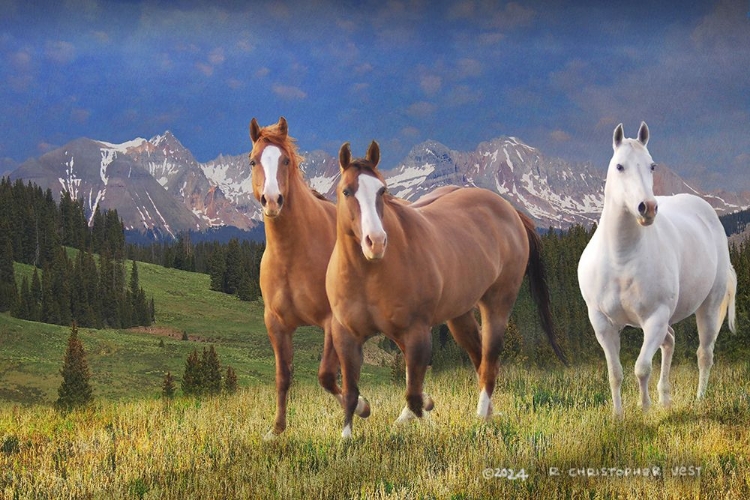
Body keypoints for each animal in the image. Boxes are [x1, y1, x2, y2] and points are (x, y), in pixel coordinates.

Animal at [248, 117, 369, 439]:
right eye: (253, 161)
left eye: (286, 160)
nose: (272, 200)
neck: (293, 255)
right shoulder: (276, 324)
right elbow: (283, 376)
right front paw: (276, 429)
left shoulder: (330, 321)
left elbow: (326, 375)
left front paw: (361, 407)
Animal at [326, 141, 567, 438]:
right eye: (346, 191)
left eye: (383, 190)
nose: (377, 242)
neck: (369, 274)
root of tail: (510, 211)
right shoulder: (346, 335)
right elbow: (350, 393)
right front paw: (347, 436)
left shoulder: (417, 331)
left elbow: (413, 396)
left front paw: (427, 421)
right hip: (459, 315)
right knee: (478, 357)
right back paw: (489, 413)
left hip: (498, 304)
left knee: (489, 362)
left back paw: (480, 417)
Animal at [577, 122, 737, 417]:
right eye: (620, 166)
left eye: (652, 166)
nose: (648, 208)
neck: (622, 258)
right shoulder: (603, 323)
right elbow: (615, 373)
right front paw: (618, 416)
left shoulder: (655, 318)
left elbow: (642, 368)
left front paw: (645, 410)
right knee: (670, 341)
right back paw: (666, 400)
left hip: (708, 307)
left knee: (704, 355)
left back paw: (698, 400)